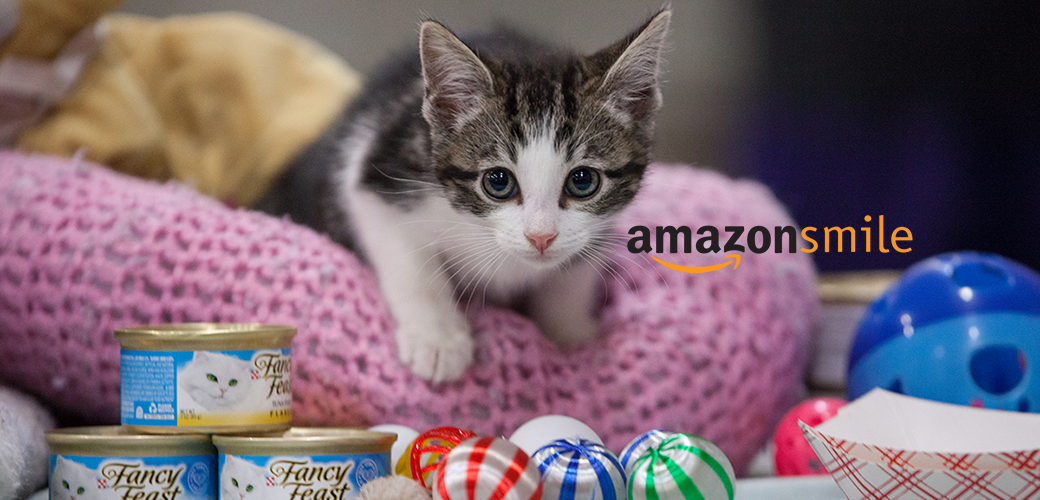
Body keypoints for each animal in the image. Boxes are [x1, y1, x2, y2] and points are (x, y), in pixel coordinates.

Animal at [258, 9, 665, 380]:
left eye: (583, 181)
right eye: (497, 182)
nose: (541, 237)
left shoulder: (595, 228)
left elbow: (574, 271)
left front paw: (571, 333)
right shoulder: (373, 172)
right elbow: (413, 265)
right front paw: (438, 340)